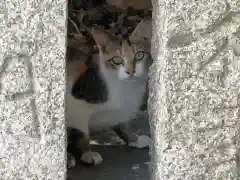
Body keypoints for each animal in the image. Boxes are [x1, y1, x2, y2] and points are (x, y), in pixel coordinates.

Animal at [66, 27, 151, 167]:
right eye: (117, 60)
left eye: (139, 55)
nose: (130, 71)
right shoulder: (75, 105)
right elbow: (82, 132)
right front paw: (87, 154)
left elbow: (123, 124)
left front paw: (134, 139)